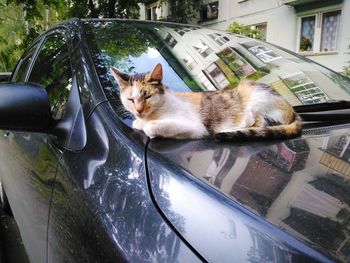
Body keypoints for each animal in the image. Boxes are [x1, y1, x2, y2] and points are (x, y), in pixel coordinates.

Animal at [111, 63, 300, 141]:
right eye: (130, 99)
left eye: (147, 97)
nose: (139, 110)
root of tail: (293, 111)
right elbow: (138, 124)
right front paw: (139, 122)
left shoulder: (196, 127)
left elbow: (150, 127)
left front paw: (148, 127)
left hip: (253, 94)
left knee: (260, 121)